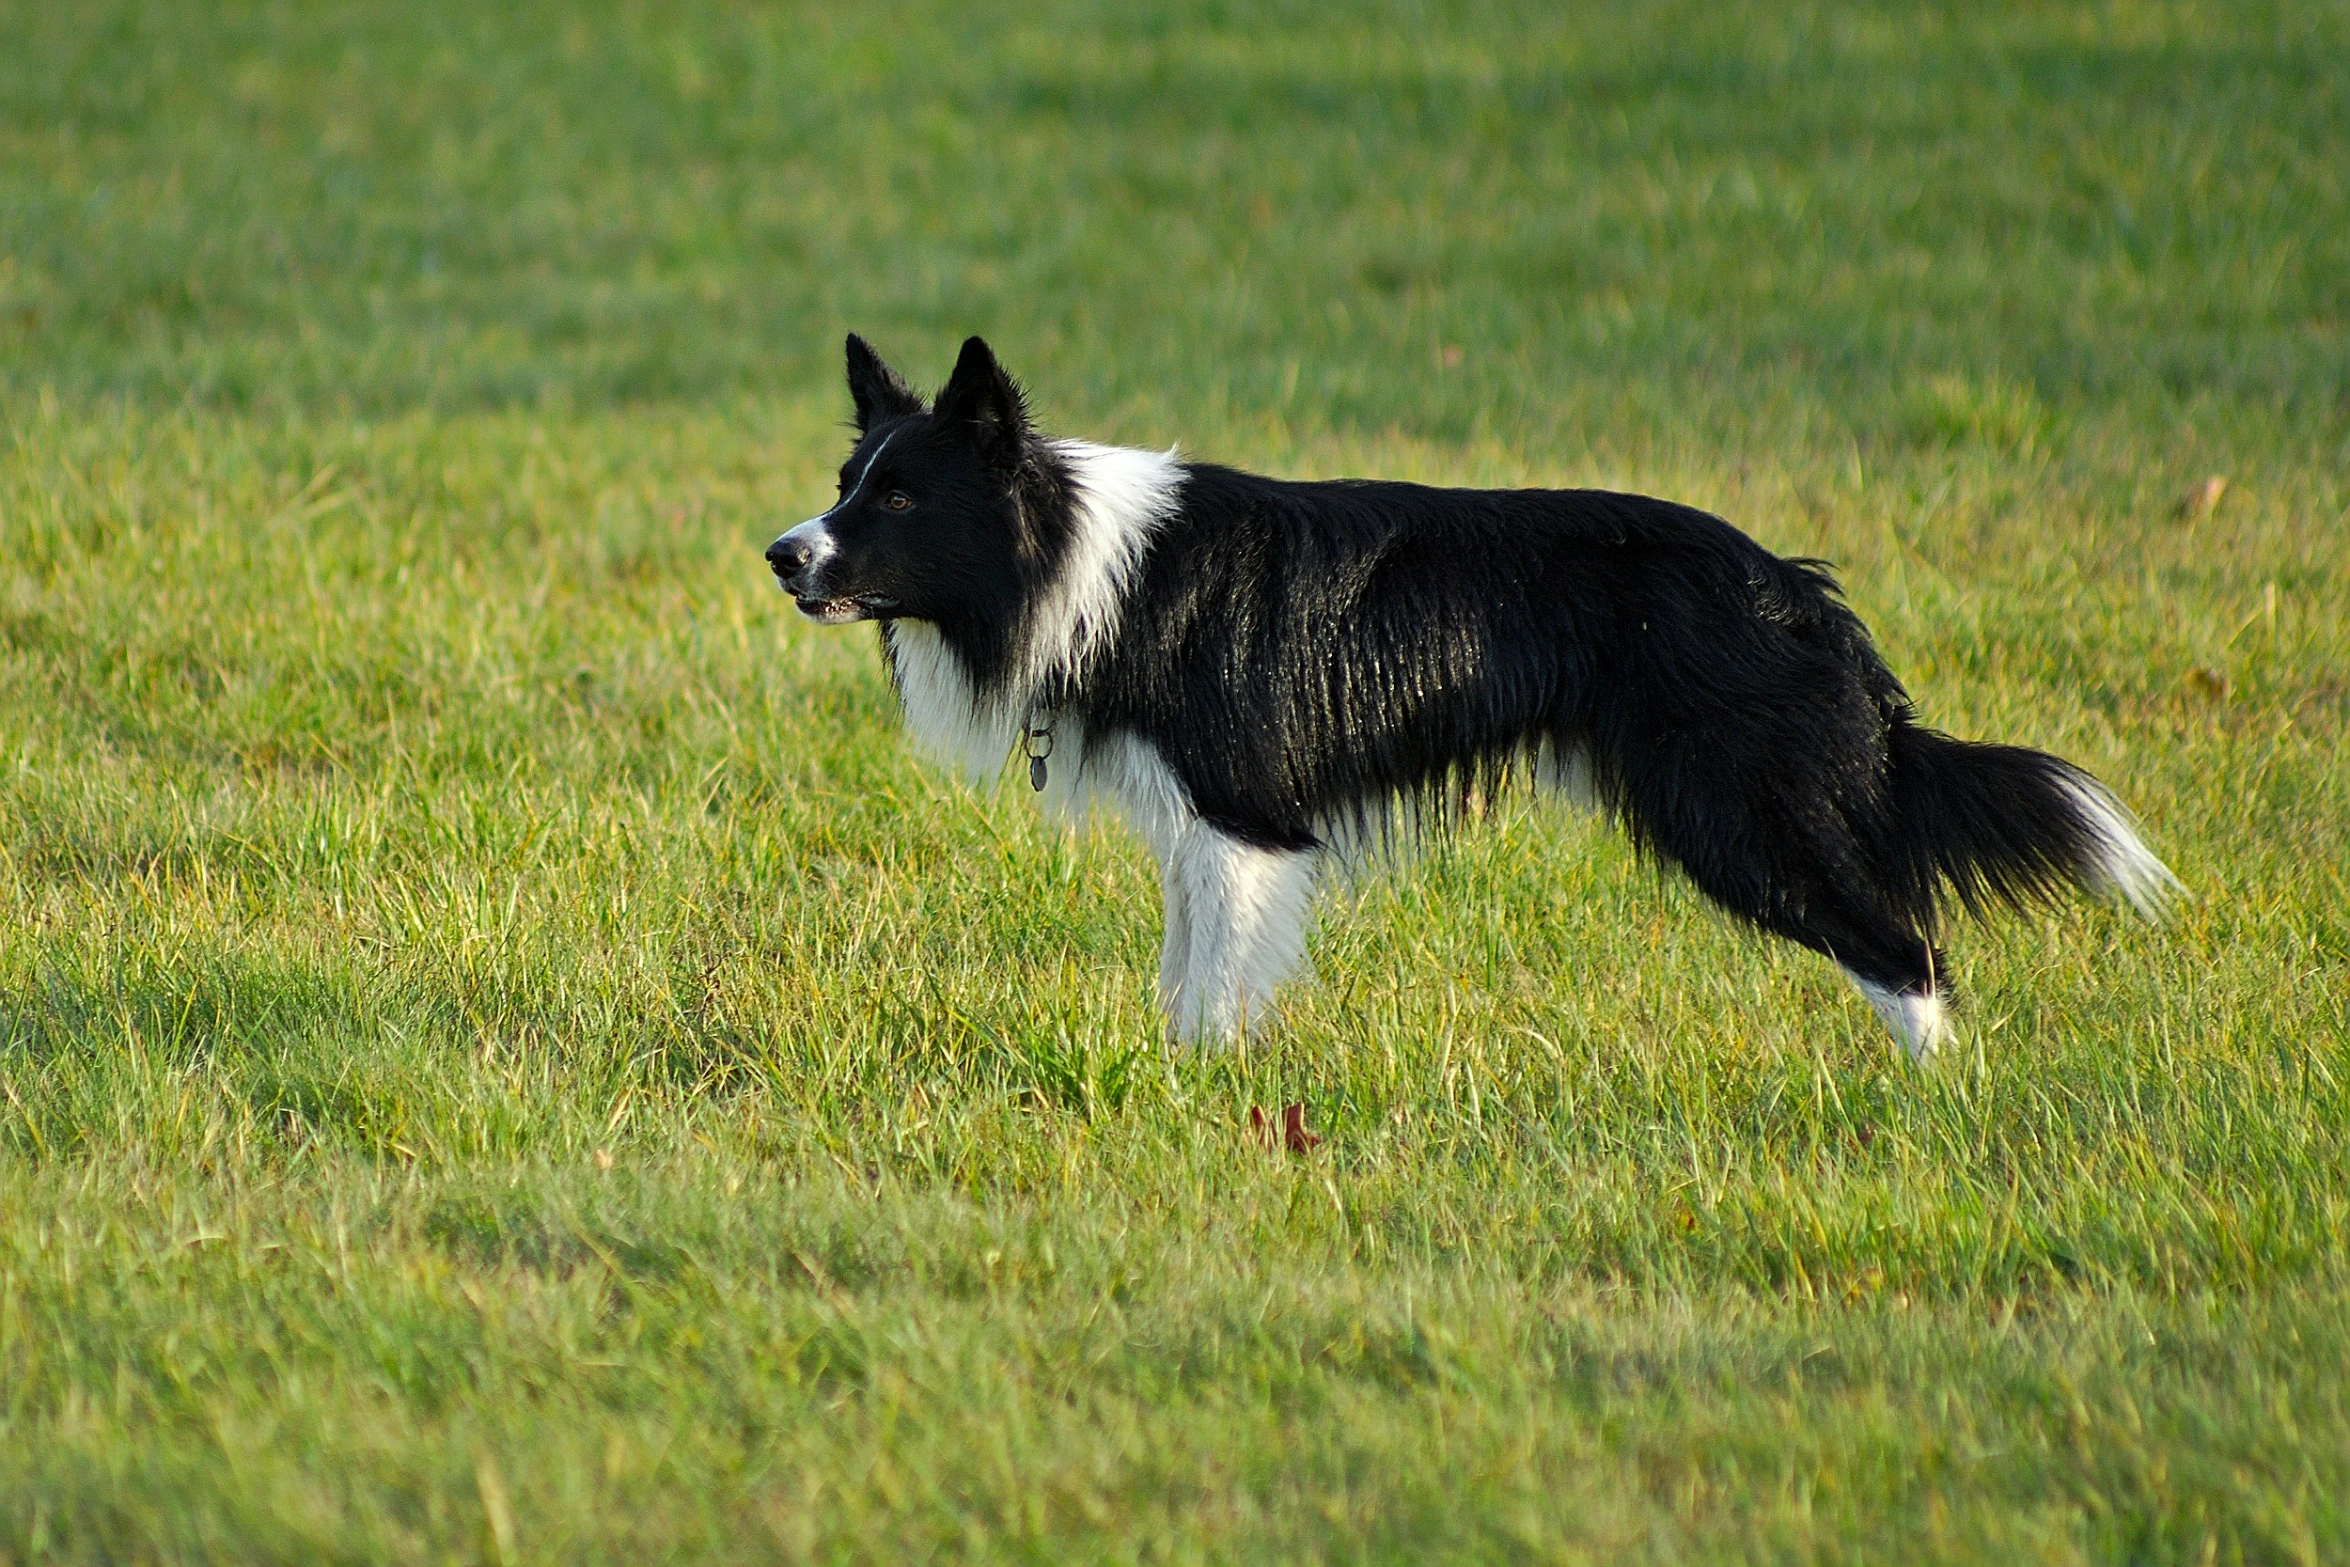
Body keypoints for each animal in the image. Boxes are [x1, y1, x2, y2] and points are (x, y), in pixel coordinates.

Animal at [766, 338, 2162, 1061]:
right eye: (845, 483)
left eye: (899, 498)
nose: (780, 553)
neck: (1075, 553)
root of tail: (1798, 596)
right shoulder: (1202, 830)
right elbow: (1183, 974)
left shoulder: (1244, 820)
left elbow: (1213, 989)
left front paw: (1201, 1102)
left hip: (1741, 814)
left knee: (1909, 954)